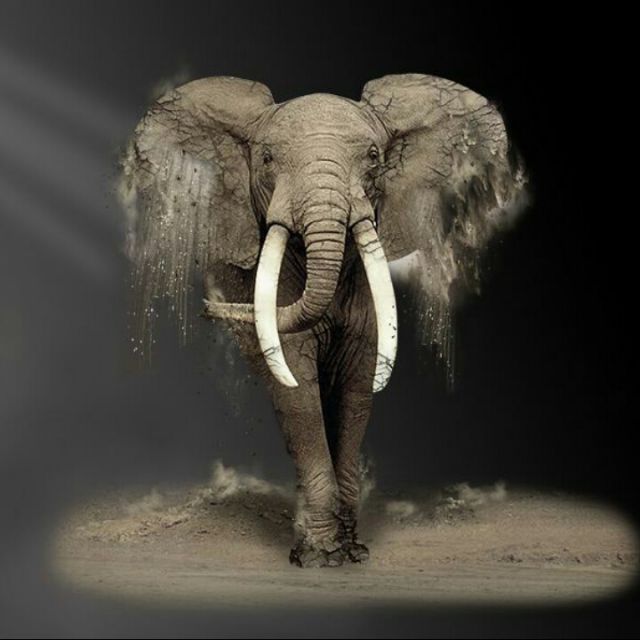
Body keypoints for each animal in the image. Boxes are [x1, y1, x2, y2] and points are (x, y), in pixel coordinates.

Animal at [120, 74, 525, 567]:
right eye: (267, 159)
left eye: (373, 157)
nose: (205, 306)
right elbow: (298, 392)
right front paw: (319, 556)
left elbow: (356, 390)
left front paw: (352, 551)